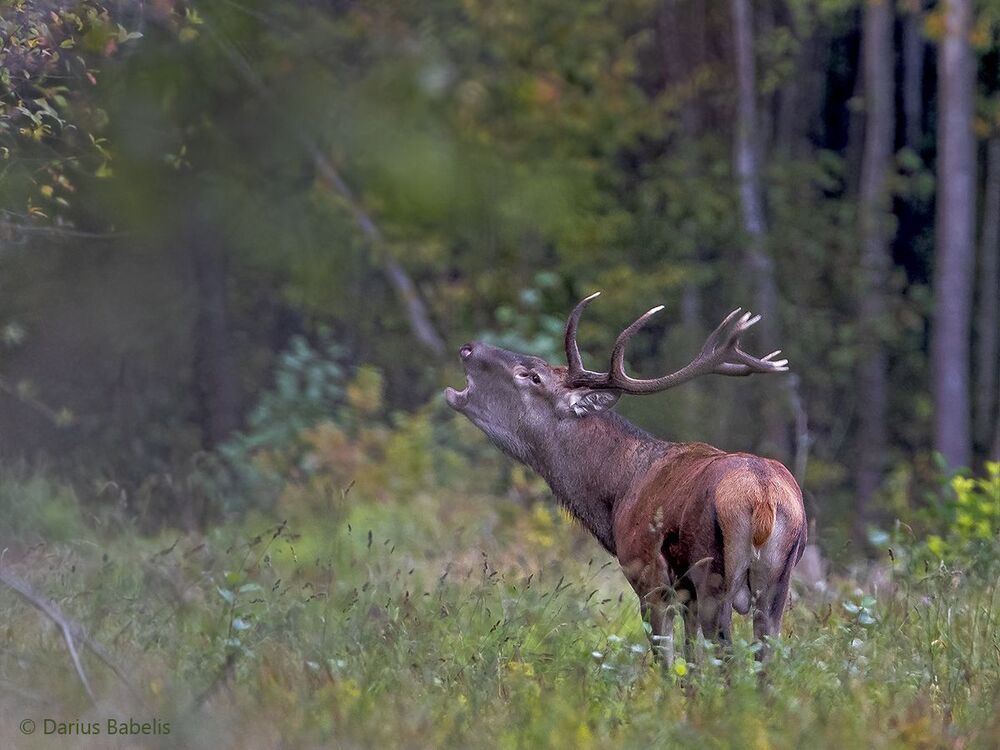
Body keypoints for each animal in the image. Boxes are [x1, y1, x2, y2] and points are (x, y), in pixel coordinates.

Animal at [444, 293, 807, 666]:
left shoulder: (649, 579)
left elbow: (667, 664)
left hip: (712, 574)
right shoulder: (686, 598)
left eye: (532, 376)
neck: (617, 493)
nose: (468, 348)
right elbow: (691, 665)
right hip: (778, 582)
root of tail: (763, 496)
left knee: (727, 657)